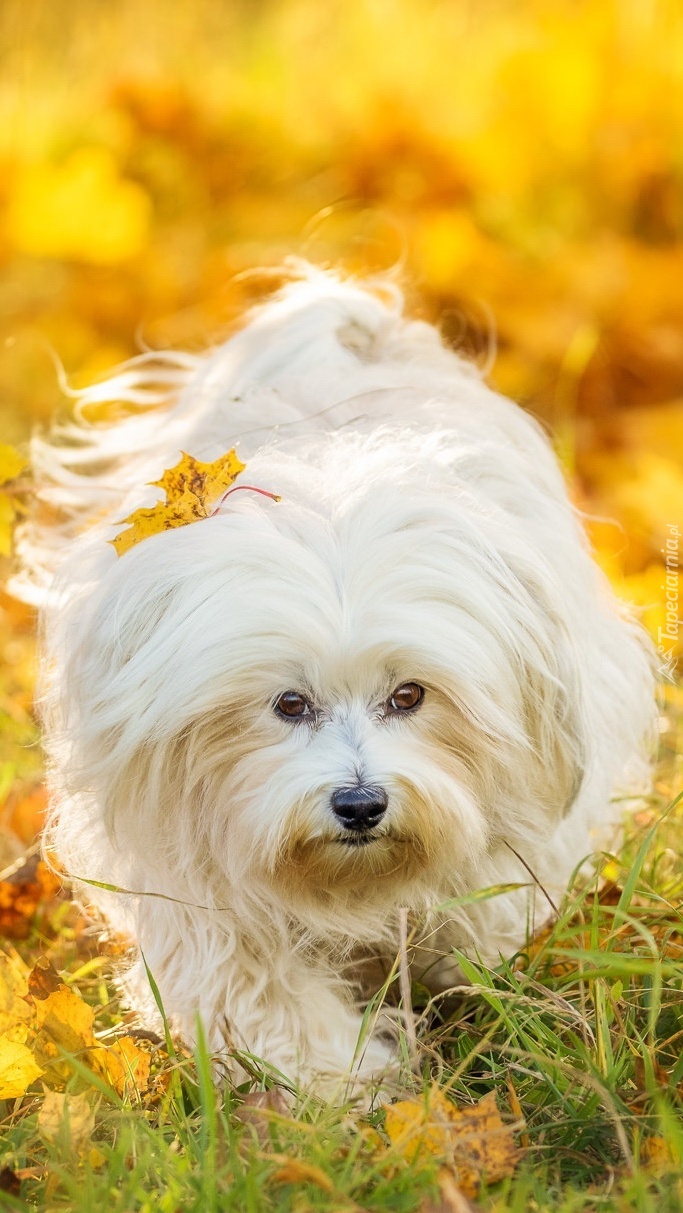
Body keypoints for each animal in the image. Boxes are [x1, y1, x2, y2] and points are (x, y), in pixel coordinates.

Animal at [21, 268, 655, 1101]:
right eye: (289, 704)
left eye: (409, 696)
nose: (359, 803)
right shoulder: (198, 881)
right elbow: (259, 997)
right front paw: (343, 1087)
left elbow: (484, 927)